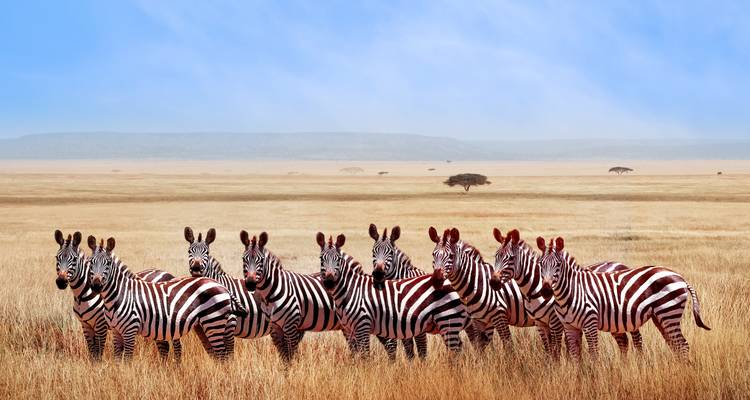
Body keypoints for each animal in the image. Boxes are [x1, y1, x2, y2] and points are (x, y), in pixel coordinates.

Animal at [54, 230, 180, 361]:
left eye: (74, 259)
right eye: (57, 257)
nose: (61, 282)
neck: (82, 295)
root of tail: (167, 274)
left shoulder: (101, 325)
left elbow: (98, 352)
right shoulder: (86, 325)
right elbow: (92, 352)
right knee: (164, 345)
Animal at [86, 235, 247, 362]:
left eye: (107, 264)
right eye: (91, 262)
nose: (96, 286)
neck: (119, 294)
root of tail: (221, 285)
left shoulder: (130, 330)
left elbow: (127, 360)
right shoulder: (116, 331)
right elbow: (117, 360)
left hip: (214, 322)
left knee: (222, 356)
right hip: (208, 325)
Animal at [241, 230, 340, 363]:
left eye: (261, 260)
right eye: (243, 259)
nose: (250, 284)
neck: (271, 293)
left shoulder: (291, 325)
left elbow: (290, 354)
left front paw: (293, 369)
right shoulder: (275, 327)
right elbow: (283, 355)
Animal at [490, 228, 644, 358]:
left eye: (510, 258)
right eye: (496, 256)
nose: (493, 282)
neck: (534, 289)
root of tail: (621, 264)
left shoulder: (556, 321)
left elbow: (556, 349)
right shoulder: (540, 323)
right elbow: (548, 350)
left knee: (636, 338)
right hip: (614, 319)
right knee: (623, 340)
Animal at [536, 235, 710, 360]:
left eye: (558, 265)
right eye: (540, 264)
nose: (546, 291)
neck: (570, 292)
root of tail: (680, 277)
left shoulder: (590, 322)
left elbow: (593, 354)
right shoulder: (570, 326)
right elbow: (575, 357)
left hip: (669, 312)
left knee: (683, 345)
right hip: (660, 317)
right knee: (675, 345)